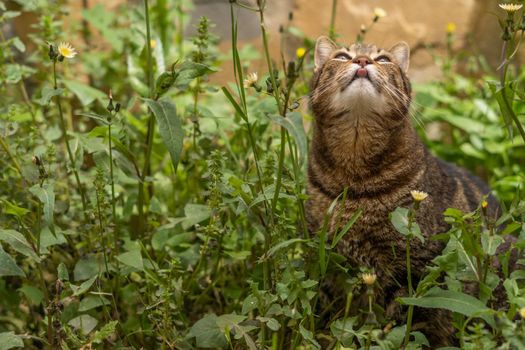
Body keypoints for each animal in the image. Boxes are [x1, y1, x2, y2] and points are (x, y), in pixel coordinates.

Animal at [308, 36, 504, 348]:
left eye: (383, 59)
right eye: (341, 56)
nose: (362, 60)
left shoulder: (414, 270)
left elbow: (406, 322)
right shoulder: (327, 262)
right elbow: (327, 316)